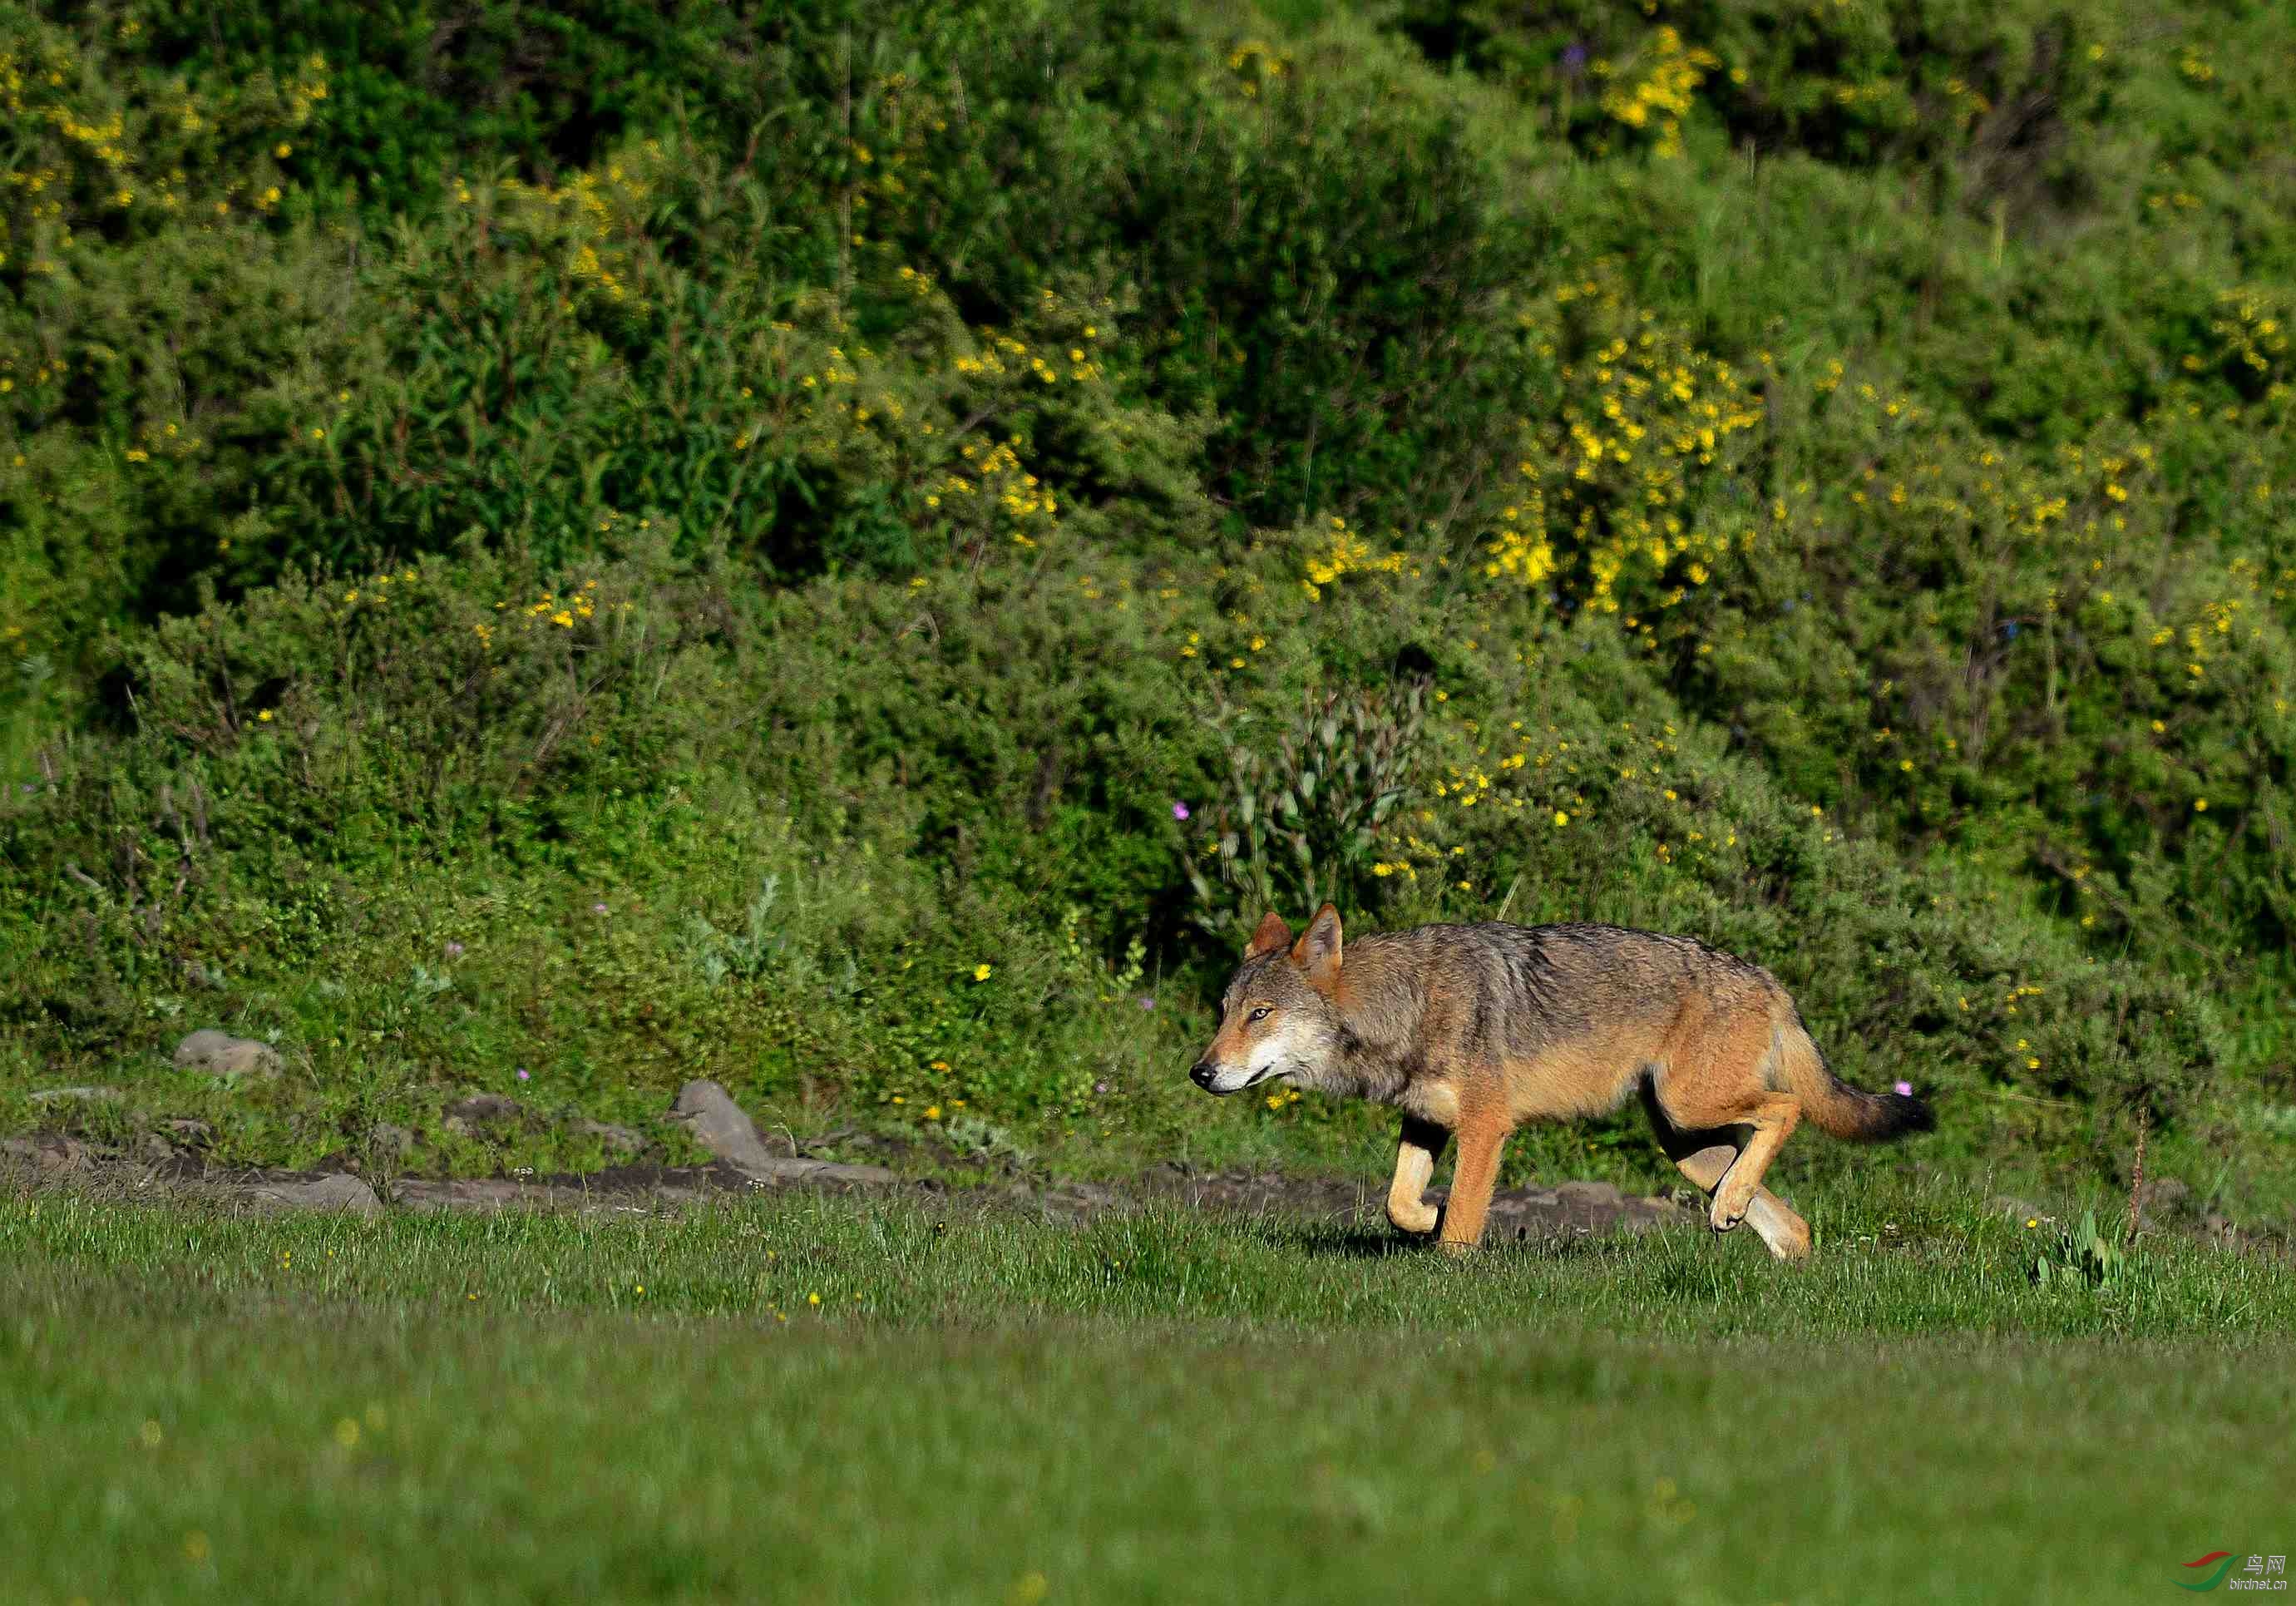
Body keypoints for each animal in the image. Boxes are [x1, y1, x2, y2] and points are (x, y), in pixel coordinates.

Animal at [1193, 905, 1928, 1258]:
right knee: (1793, 1223)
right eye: (1224, 1010)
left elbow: (1462, 1222)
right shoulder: (1426, 1120)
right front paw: (1428, 1218)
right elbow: (1399, 1203)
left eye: (1260, 1014)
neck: (1409, 1001)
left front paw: (1449, 1260)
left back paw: (1735, 1205)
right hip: (1686, 1144)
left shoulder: (1486, 1127)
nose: (1200, 1071)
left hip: (1691, 1109)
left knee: (1787, 1107)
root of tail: (1770, 980)